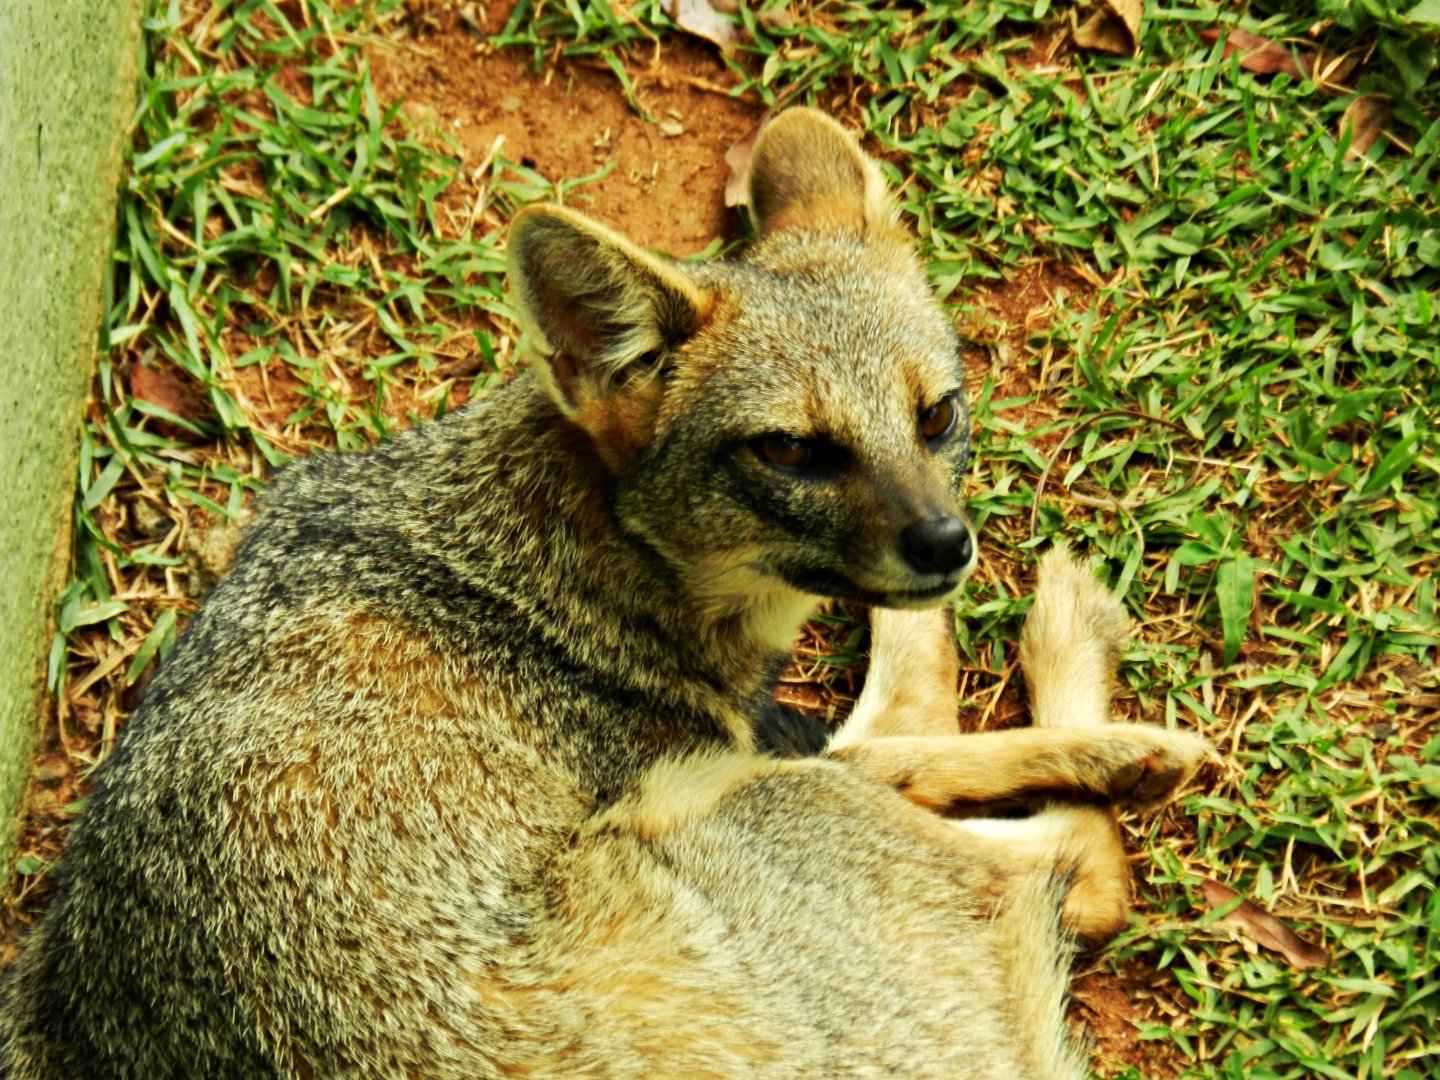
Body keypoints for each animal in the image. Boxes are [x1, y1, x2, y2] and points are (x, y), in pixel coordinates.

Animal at [0, 108, 1209, 1078]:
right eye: (793, 452)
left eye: (938, 415)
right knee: (1074, 869)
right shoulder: (706, 755)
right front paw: (1112, 743)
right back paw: (1094, 687)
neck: (551, 561)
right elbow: (939, 770)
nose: (944, 544)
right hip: (761, 809)